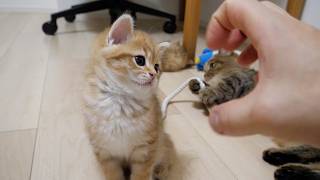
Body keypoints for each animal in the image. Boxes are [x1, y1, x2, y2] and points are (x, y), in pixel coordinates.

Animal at [83, 14, 175, 179]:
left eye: (157, 67)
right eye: (140, 60)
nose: (154, 75)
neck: (121, 100)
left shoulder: (146, 150)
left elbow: (141, 175)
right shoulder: (104, 152)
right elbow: (113, 174)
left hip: (164, 141)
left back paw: (160, 171)